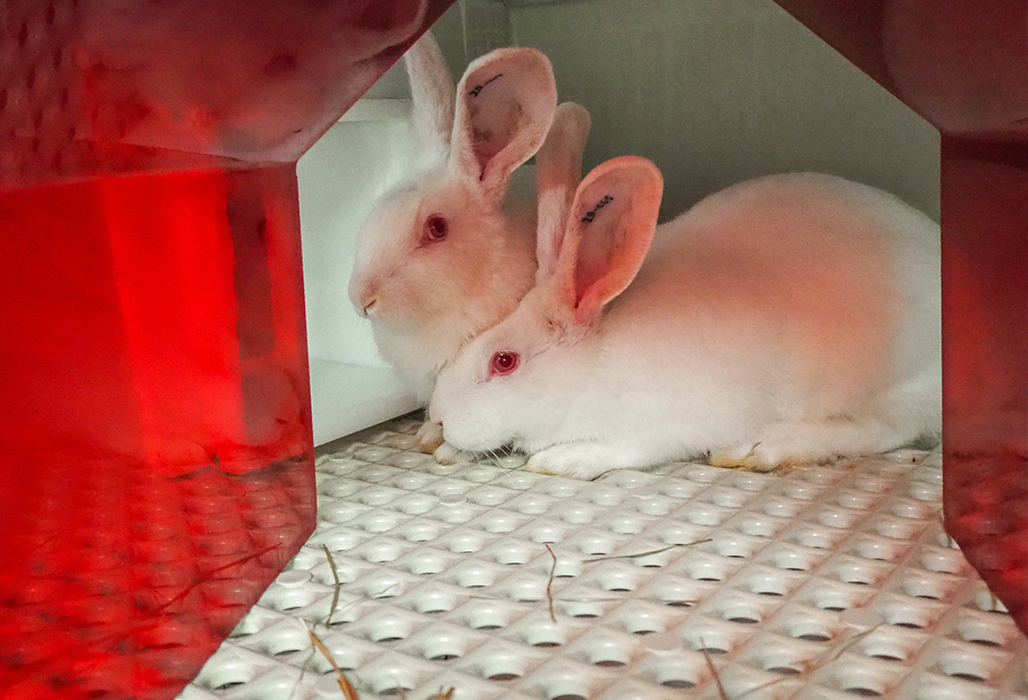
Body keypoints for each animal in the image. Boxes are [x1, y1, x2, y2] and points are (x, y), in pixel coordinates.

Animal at [429, 156, 942, 479]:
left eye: (504, 362)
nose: (437, 416)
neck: (594, 365)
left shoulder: (662, 427)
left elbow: (621, 450)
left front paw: (562, 460)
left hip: (895, 387)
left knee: (888, 430)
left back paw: (764, 447)